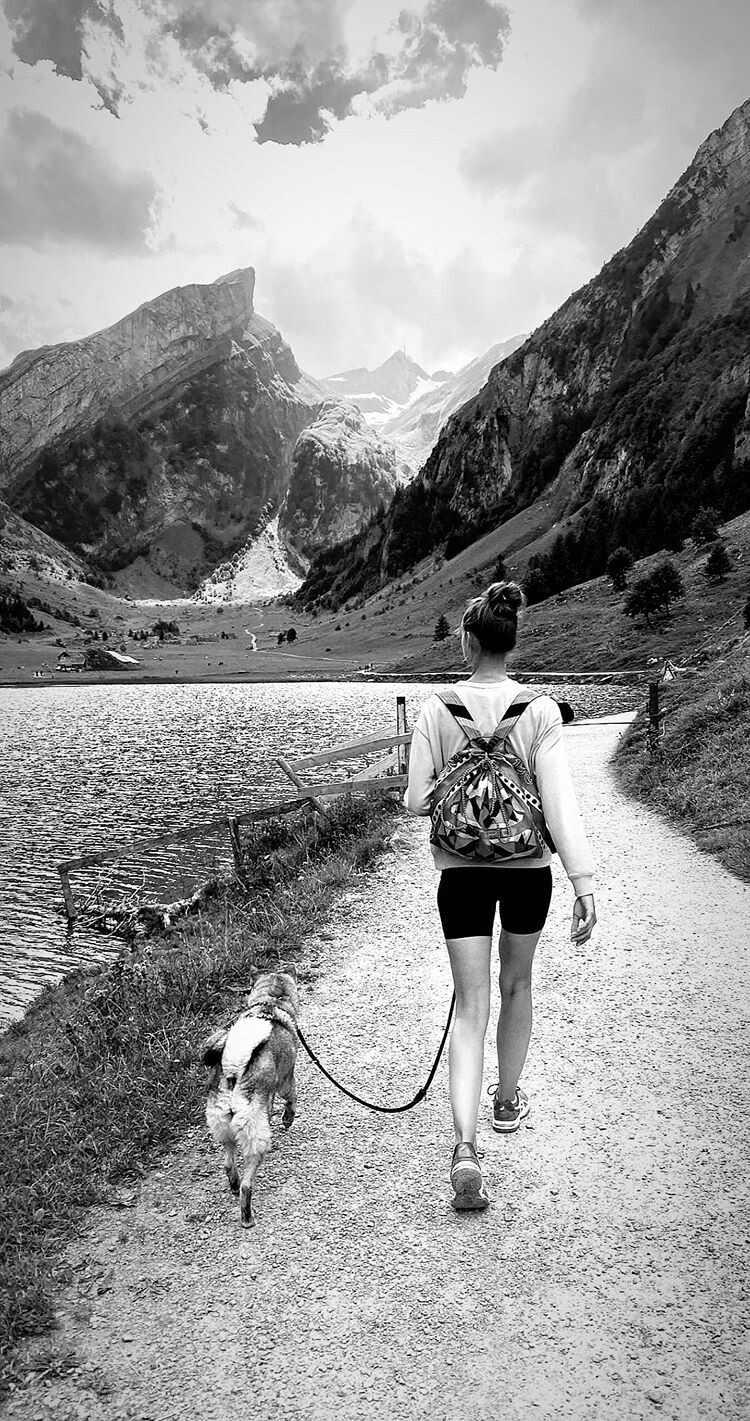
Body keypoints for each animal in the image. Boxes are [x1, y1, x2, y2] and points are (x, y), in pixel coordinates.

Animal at [201, 970, 299, 1227]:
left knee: (228, 1164)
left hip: (223, 1127)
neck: (270, 1004)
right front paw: (287, 1119)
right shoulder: (285, 1081)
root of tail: (234, 1072)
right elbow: (291, 1100)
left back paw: (233, 1184)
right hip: (255, 1138)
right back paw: (247, 1216)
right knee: (247, 1185)